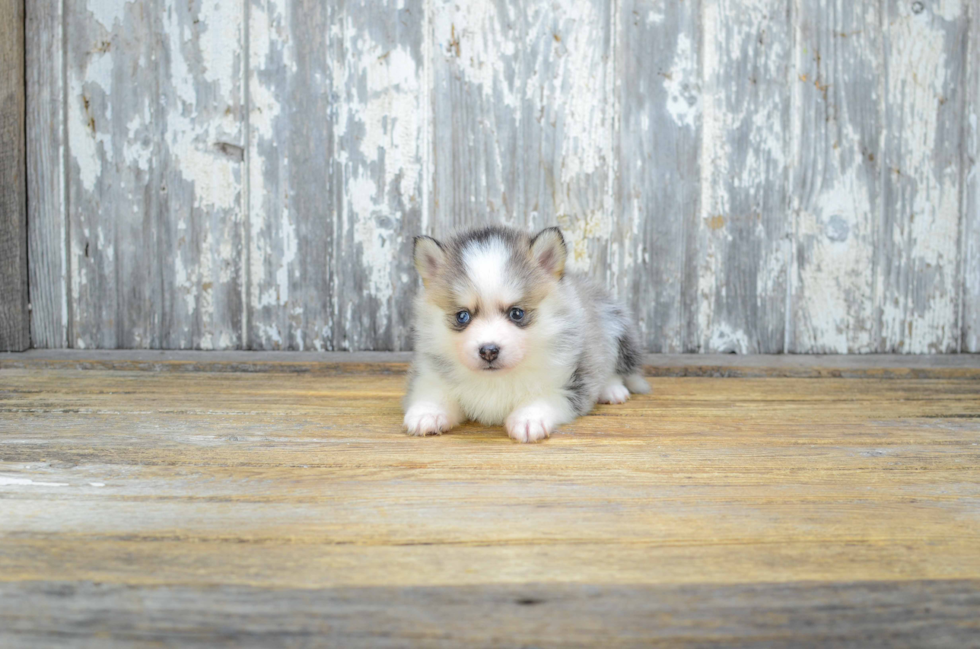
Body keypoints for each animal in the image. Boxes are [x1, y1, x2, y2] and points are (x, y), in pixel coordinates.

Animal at [404, 225, 652, 442]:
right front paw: (428, 412)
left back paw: (611, 389)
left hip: (613, 325)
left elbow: (544, 397)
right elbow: (434, 393)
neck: (496, 380)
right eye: (462, 316)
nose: (488, 351)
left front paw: (529, 417)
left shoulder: (568, 383)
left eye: (517, 313)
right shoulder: (431, 374)